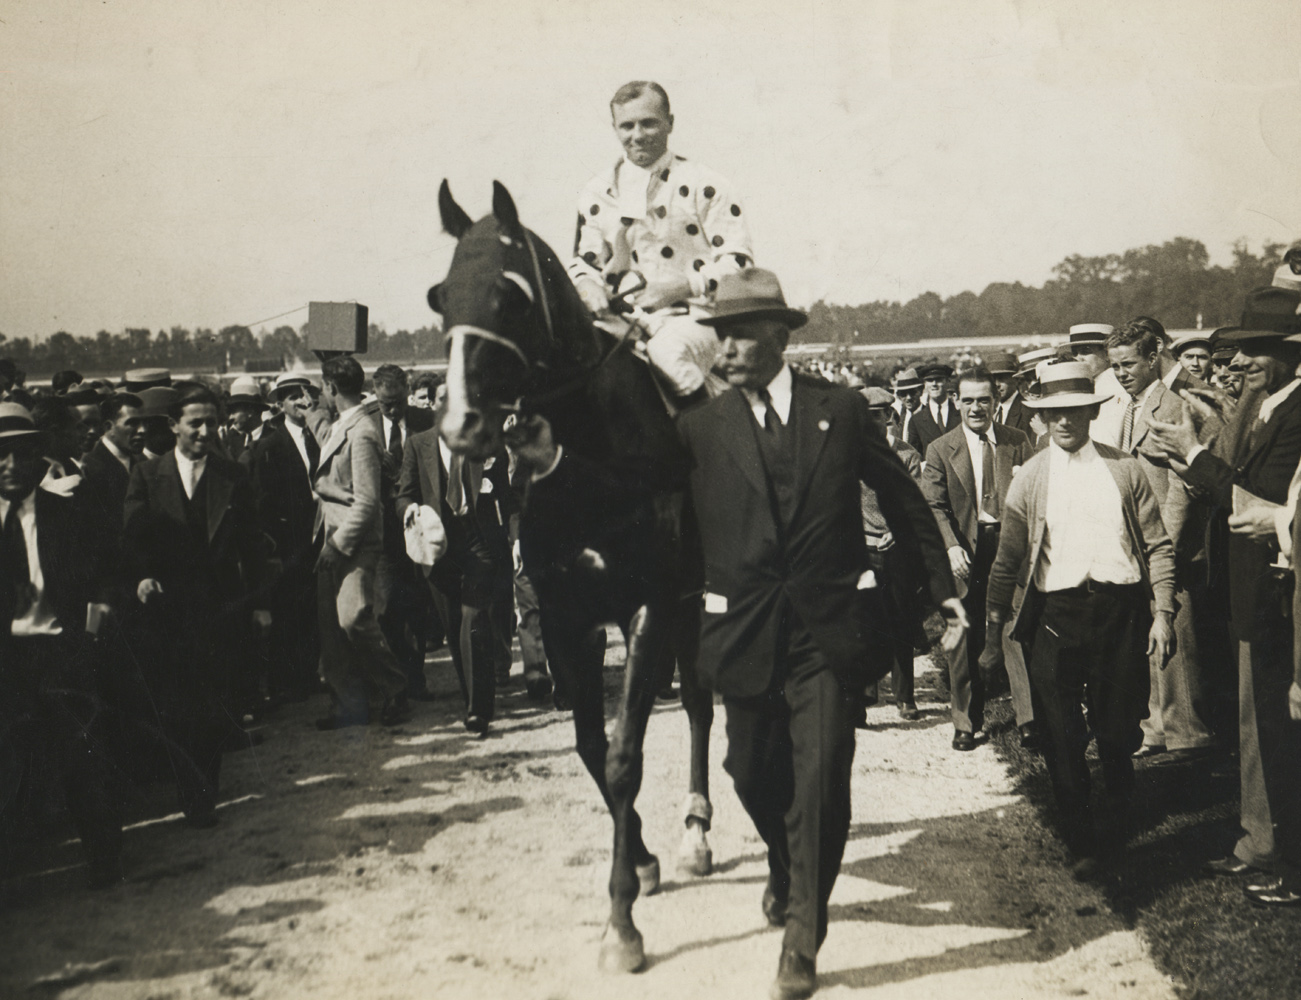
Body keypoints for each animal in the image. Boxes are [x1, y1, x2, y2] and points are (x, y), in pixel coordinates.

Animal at [431, 179, 718, 967]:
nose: (461, 425)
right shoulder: (567, 615)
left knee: (702, 706)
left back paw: (696, 831)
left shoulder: (649, 605)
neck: (591, 460)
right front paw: (639, 863)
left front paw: (621, 924)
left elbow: (623, 756)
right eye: (440, 296)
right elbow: (592, 750)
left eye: (510, 295)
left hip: (692, 601)